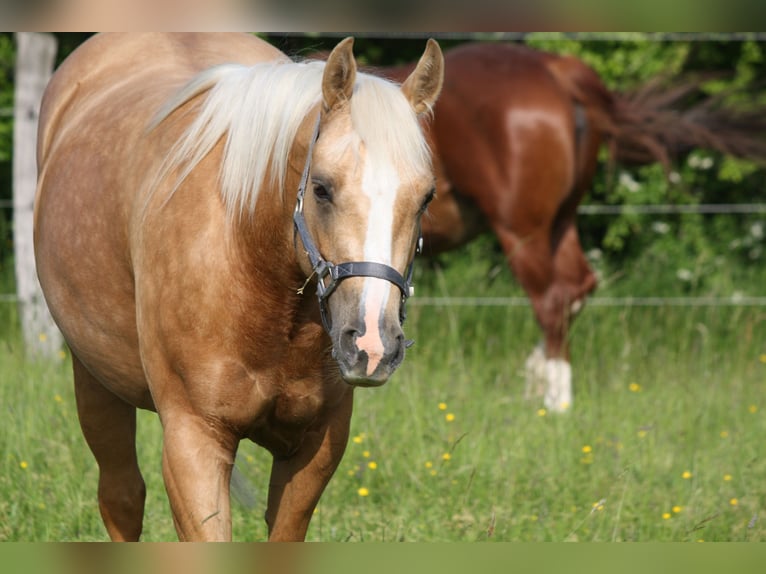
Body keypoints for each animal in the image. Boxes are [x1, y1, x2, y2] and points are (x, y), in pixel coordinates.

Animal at [34, 33, 444, 544]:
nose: (372, 344)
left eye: (425, 197)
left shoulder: (314, 448)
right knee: (122, 498)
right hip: (94, 379)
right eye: (322, 188)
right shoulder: (194, 442)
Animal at [376, 42, 766, 416]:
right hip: (561, 221)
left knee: (552, 298)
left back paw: (556, 401)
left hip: (523, 230)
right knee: (578, 286)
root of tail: (559, 72)